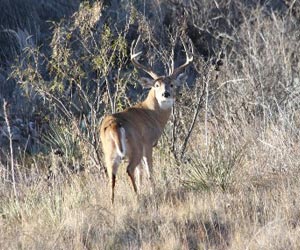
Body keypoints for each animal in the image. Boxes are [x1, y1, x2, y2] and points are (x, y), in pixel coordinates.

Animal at [99, 36, 193, 202]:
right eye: (156, 85)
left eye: (171, 84)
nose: (165, 94)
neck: (151, 113)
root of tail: (114, 125)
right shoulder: (148, 143)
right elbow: (149, 171)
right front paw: (151, 191)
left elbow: (141, 173)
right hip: (134, 147)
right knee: (129, 169)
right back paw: (137, 197)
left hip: (108, 151)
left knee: (112, 176)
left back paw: (113, 202)